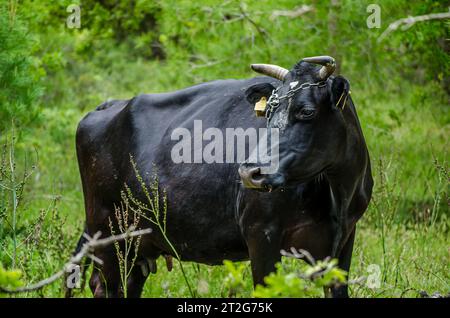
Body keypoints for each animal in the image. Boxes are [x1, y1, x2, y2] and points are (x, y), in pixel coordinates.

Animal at [73, 62, 372, 298]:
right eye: (268, 113)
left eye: (307, 111)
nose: (250, 172)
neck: (337, 194)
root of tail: (111, 104)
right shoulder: (261, 233)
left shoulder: (344, 239)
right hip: (107, 233)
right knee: (106, 286)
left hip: (138, 244)